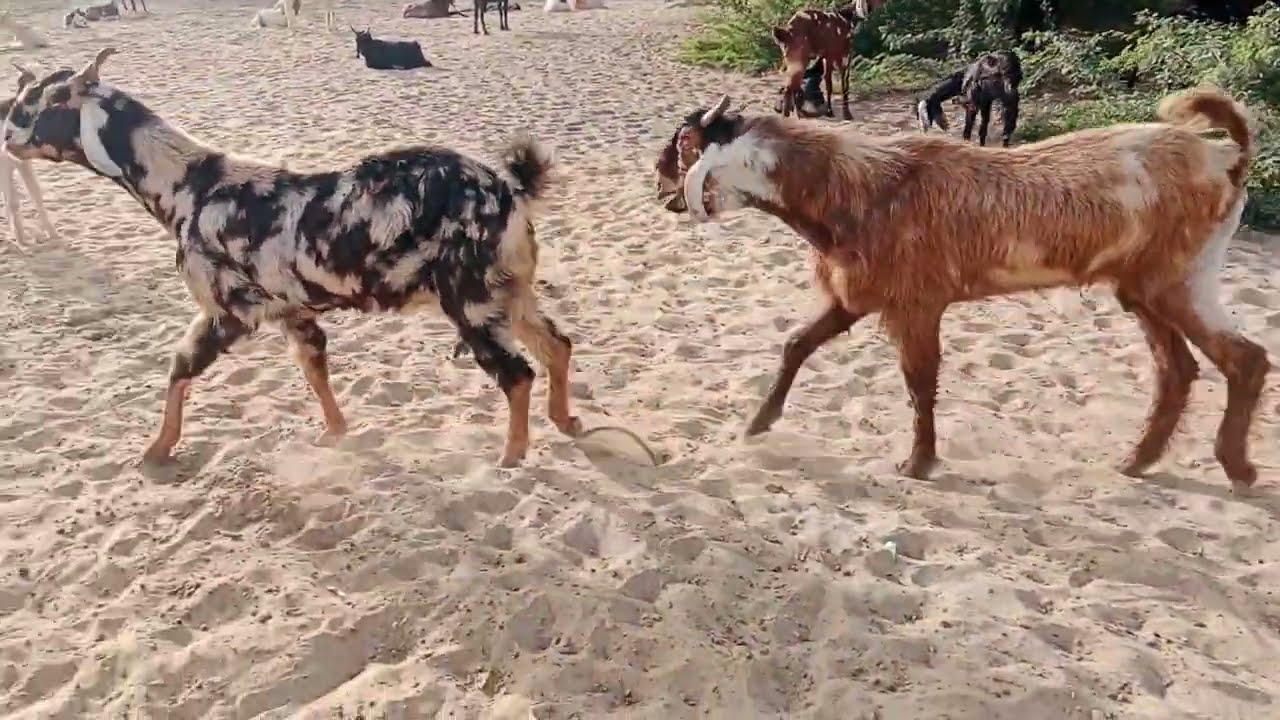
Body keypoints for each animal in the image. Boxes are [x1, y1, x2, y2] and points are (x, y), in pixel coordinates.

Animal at [0, 62, 56, 245]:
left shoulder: (22, 163)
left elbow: (36, 193)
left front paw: (52, 234)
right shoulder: (4, 166)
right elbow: (13, 201)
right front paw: (21, 239)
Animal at [653, 89, 1270, 492]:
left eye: (685, 141)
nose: (660, 185)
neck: (856, 190)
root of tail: (1227, 159)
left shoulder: (917, 303)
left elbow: (919, 383)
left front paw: (918, 464)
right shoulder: (855, 296)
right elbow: (796, 345)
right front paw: (757, 423)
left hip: (1178, 280)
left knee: (1245, 359)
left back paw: (1236, 469)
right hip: (1145, 287)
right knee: (1179, 370)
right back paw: (1137, 461)